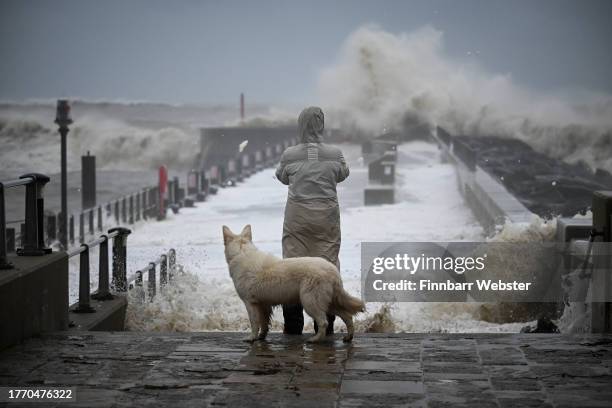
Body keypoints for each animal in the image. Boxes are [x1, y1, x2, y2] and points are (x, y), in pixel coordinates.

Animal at [224, 225, 364, 342]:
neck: (242, 252)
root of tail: (333, 270)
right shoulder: (263, 304)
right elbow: (264, 323)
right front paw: (261, 337)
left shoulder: (250, 303)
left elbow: (254, 323)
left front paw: (252, 338)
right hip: (328, 303)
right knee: (347, 316)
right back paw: (348, 337)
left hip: (310, 302)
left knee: (324, 322)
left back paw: (315, 339)